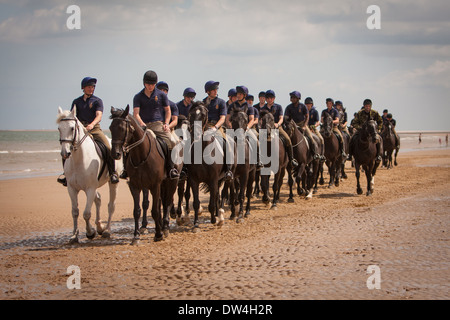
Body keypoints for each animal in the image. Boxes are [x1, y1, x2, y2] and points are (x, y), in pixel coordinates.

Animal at [56, 106, 123, 244]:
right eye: (59, 128)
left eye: (72, 128)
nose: (65, 153)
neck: (79, 159)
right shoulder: (72, 188)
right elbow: (75, 212)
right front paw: (74, 236)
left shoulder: (90, 188)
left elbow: (86, 213)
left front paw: (90, 232)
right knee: (98, 199)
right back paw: (100, 227)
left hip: (112, 183)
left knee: (111, 206)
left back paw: (106, 230)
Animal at [110, 106, 182, 244]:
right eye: (111, 128)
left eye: (122, 128)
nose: (115, 154)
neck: (141, 155)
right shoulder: (135, 185)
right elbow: (137, 211)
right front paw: (136, 235)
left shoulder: (155, 185)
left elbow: (155, 210)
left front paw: (158, 234)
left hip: (172, 181)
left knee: (167, 202)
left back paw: (165, 227)